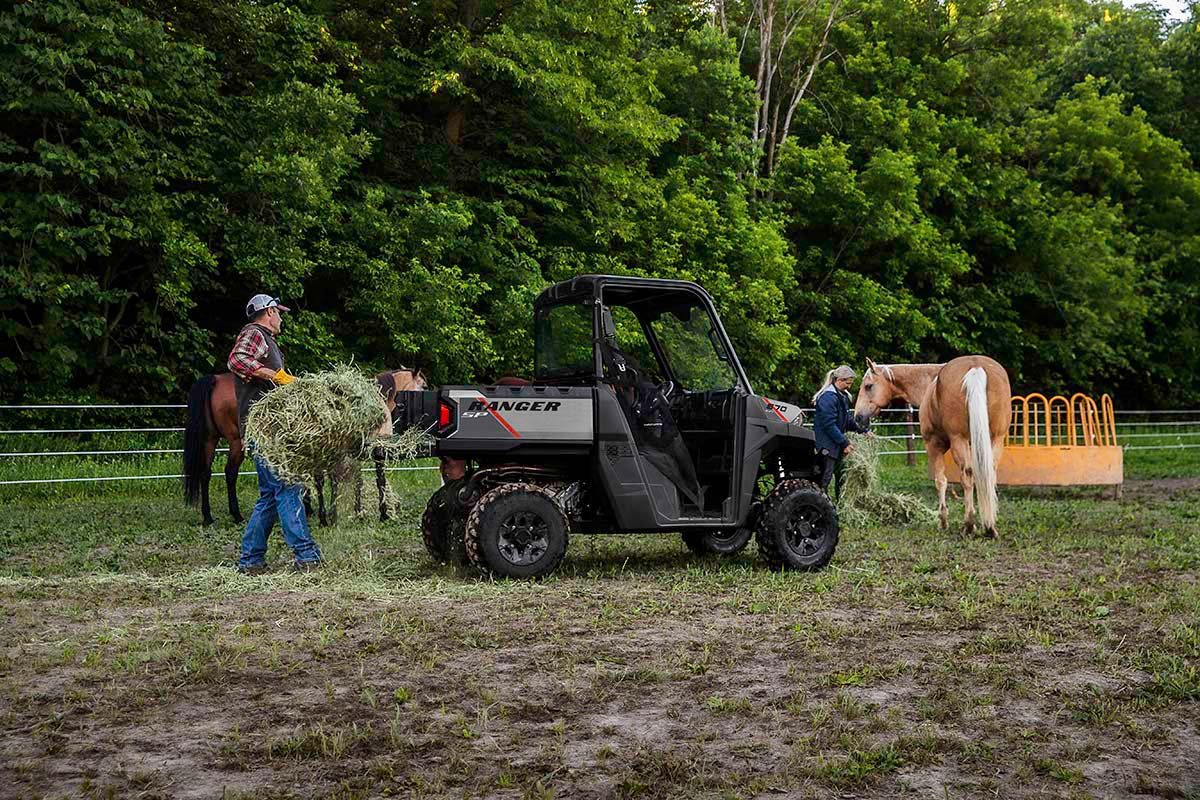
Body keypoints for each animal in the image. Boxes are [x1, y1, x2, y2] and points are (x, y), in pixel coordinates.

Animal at [182, 369, 427, 525]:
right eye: (423, 385)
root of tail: (214, 379)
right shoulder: (371, 450)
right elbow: (373, 480)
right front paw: (376, 513)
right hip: (235, 442)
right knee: (230, 473)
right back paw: (236, 515)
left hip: (210, 440)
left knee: (205, 473)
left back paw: (208, 516)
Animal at [854, 357, 1012, 537]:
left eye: (868, 386)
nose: (857, 417)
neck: (930, 383)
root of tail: (976, 366)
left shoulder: (933, 445)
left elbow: (941, 481)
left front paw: (943, 521)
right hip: (995, 439)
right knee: (988, 474)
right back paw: (990, 526)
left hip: (959, 440)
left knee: (967, 476)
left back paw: (969, 525)